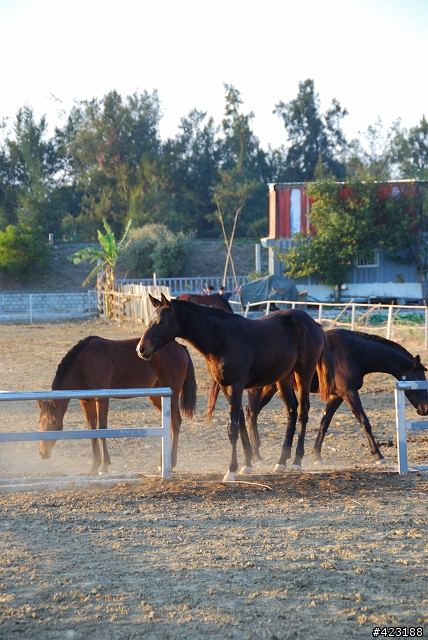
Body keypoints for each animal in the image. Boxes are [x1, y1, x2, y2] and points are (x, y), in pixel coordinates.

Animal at [38, 336, 197, 474]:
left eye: (53, 422)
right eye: (39, 422)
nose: (42, 452)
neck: (84, 362)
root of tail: (180, 347)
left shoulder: (102, 399)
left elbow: (101, 428)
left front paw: (104, 466)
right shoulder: (86, 401)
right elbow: (92, 429)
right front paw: (95, 466)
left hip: (172, 394)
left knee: (175, 422)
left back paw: (172, 462)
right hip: (157, 396)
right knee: (169, 423)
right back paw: (162, 462)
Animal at [136, 294, 335, 481]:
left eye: (162, 321)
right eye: (150, 320)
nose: (141, 349)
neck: (221, 338)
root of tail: (313, 323)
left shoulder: (236, 387)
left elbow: (232, 427)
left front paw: (230, 470)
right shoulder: (227, 388)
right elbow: (240, 423)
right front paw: (246, 465)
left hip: (303, 375)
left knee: (303, 412)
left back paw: (296, 461)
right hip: (284, 379)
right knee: (291, 412)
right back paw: (281, 461)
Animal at [236, 329, 428, 466]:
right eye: (419, 380)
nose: (425, 409)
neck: (353, 353)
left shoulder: (337, 396)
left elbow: (324, 422)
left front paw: (317, 455)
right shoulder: (349, 392)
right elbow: (364, 421)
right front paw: (378, 455)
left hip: (271, 388)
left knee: (252, 413)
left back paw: (256, 453)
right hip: (261, 388)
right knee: (251, 412)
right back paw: (257, 456)